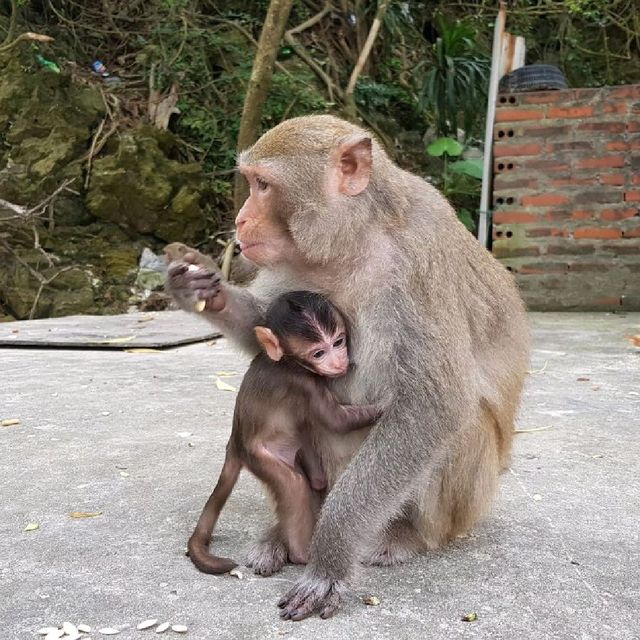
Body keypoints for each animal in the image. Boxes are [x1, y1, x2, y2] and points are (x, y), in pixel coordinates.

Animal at [188, 290, 382, 576]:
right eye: (318, 352)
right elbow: (336, 421)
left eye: (338, 341)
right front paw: (386, 406)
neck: (288, 361)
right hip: (261, 456)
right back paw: (302, 553)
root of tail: (235, 442)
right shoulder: (303, 382)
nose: (339, 361)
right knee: (293, 484)